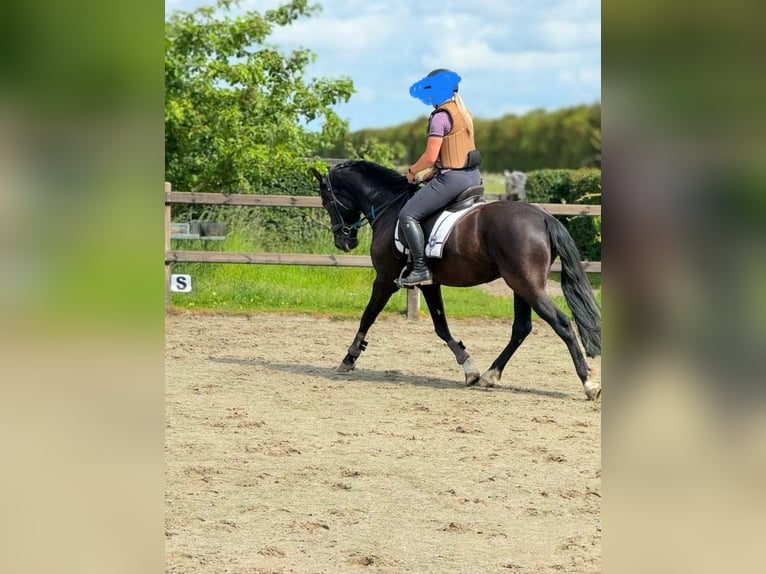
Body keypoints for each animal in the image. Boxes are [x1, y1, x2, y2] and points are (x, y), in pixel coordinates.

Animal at [308, 158, 604, 400]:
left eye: (326, 201)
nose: (344, 241)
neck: (388, 206)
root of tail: (542, 216)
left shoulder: (385, 279)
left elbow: (367, 316)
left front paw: (349, 358)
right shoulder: (429, 283)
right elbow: (441, 327)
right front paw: (469, 368)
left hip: (528, 285)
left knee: (562, 324)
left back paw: (589, 384)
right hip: (520, 285)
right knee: (521, 328)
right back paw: (490, 376)